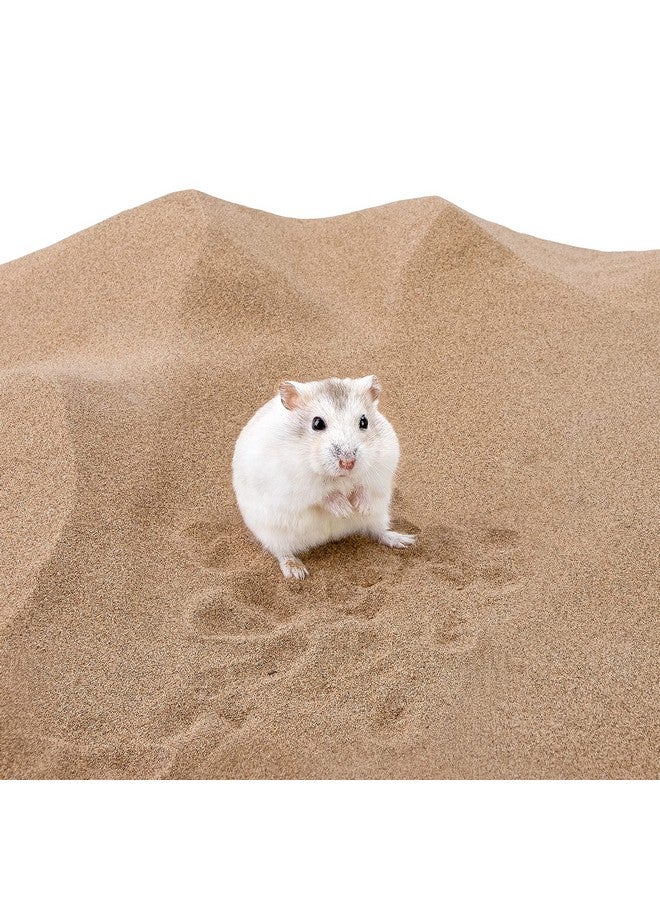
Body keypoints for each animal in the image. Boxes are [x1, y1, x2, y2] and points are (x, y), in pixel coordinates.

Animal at [232, 375, 415, 579]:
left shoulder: (382, 466)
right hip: (272, 532)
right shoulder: (295, 483)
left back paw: (404, 540)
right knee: (282, 551)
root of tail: (329, 537)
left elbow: (364, 486)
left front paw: (360, 508)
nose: (348, 463)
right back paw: (296, 571)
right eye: (317, 423)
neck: (341, 477)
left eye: (364, 421)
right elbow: (323, 495)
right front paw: (345, 510)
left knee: (378, 532)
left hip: (379, 515)